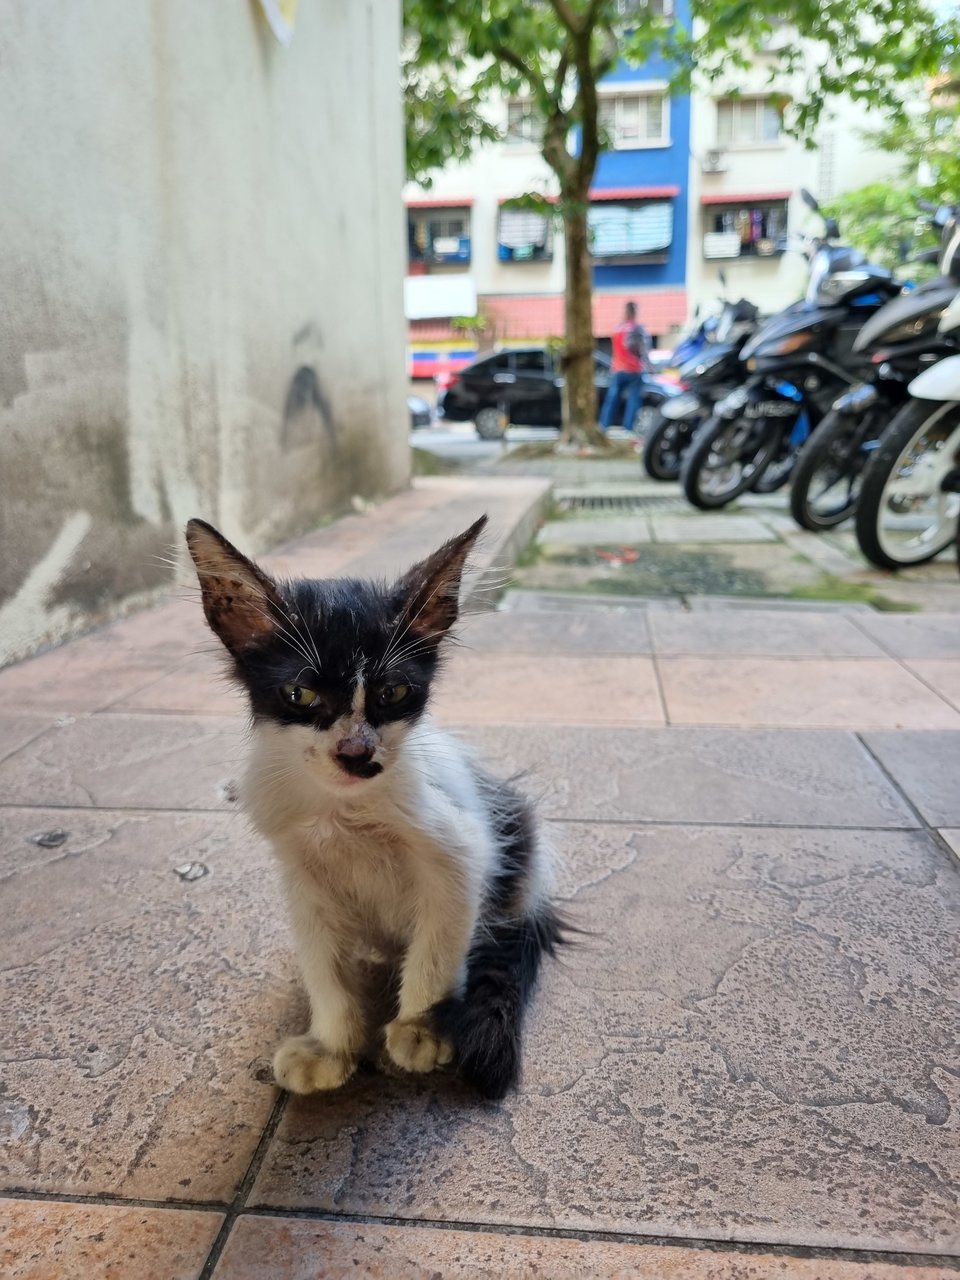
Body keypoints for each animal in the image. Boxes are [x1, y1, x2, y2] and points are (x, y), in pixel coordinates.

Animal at [185, 514, 563, 1095]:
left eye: (392, 693)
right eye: (301, 695)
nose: (356, 753)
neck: (346, 813)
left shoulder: (461, 851)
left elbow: (438, 946)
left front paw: (421, 1028)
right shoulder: (301, 876)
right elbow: (323, 966)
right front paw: (332, 1045)